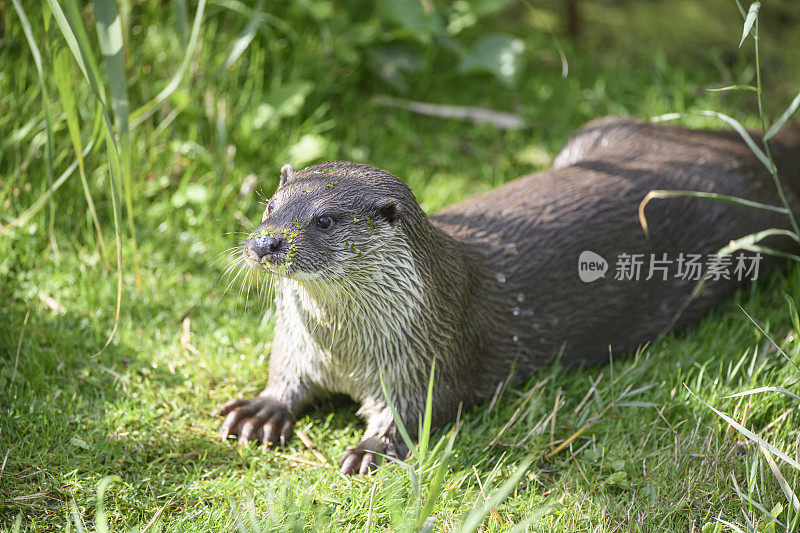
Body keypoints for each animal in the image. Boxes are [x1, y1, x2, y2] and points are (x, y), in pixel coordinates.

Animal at [216, 116, 800, 474]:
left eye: (324, 220)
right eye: (270, 207)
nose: (265, 243)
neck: (345, 351)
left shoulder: (429, 358)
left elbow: (414, 413)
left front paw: (371, 449)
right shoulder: (297, 343)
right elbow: (285, 375)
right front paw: (262, 411)